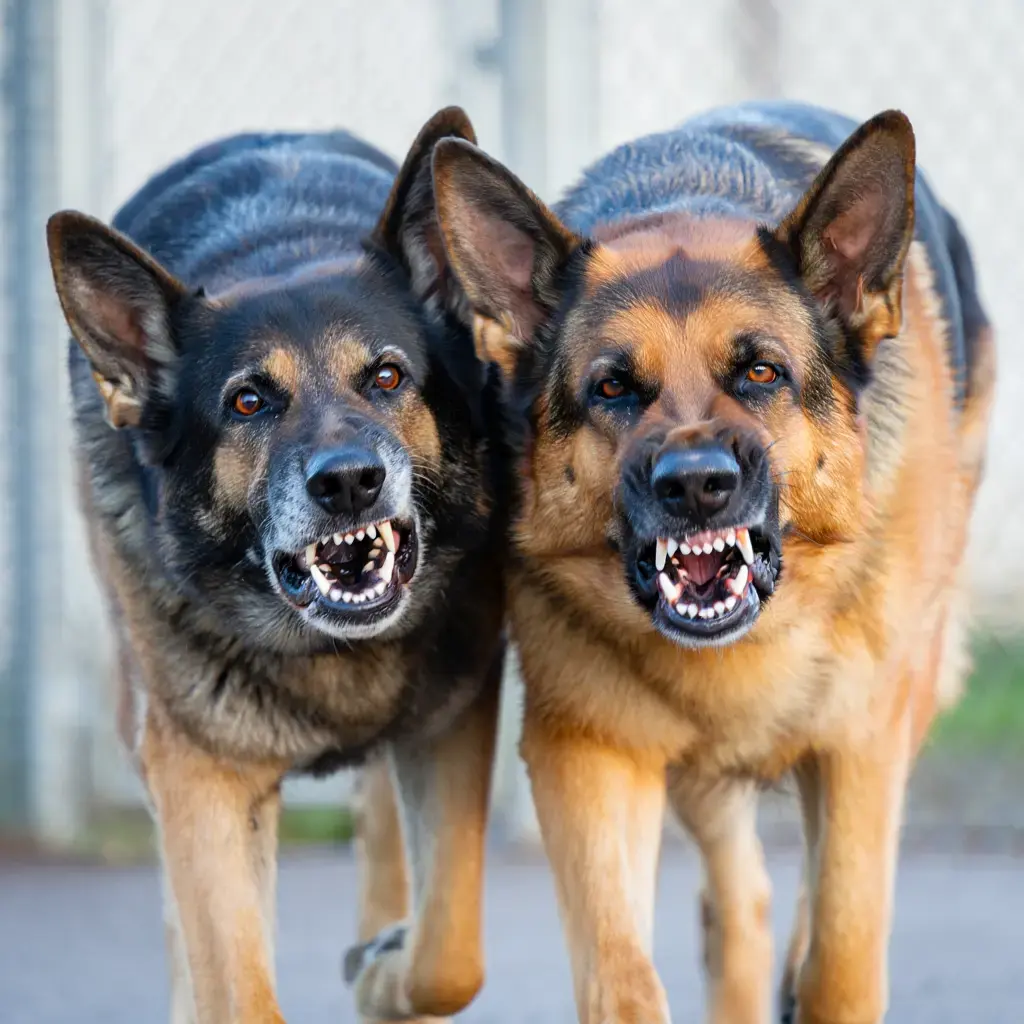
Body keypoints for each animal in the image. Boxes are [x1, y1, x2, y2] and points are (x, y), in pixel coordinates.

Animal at [47, 107, 507, 1024]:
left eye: (387, 376)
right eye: (248, 402)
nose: (349, 483)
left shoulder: (449, 726)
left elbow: (449, 952)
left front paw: (390, 973)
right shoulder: (201, 778)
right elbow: (230, 977)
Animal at [431, 101, 995, 1024]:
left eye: (760, 371)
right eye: (613, 388)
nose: (696, 485)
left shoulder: (861, 745)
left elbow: (844, 958)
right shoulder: (588, 752)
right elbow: (621, 975)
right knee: (737, 904)